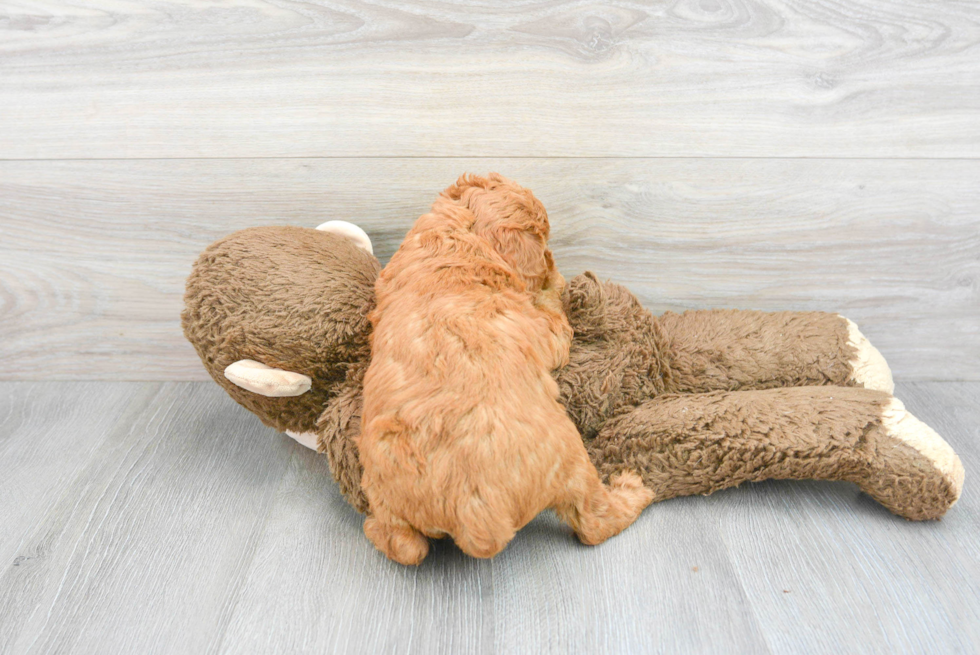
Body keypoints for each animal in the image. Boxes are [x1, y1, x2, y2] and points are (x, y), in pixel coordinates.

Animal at [356, 174, 656, 564]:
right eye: (543, 237)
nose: (552, 263)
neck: (456, 238)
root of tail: (474, 514)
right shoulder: (544, 333)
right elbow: (554, 320)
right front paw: (555, 287)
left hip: (384, 498)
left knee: (402, 546)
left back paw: (374, 529)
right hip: (572, 460)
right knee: (594, 523)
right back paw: (633, 489)